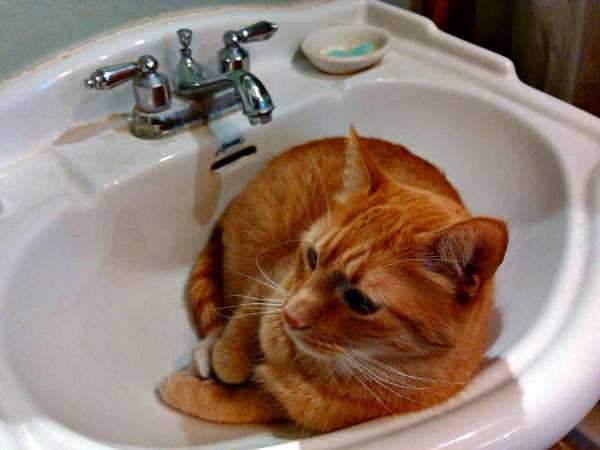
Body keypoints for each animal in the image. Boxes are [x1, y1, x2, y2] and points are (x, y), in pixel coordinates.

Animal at [159, 127, 506, 432]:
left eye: (360, 301)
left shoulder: (281, 406)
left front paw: (182, 389)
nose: (290, 317)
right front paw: (226, 362)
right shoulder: (273, 277)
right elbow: (240, 331)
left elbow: (229, 406)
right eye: (313, 257)